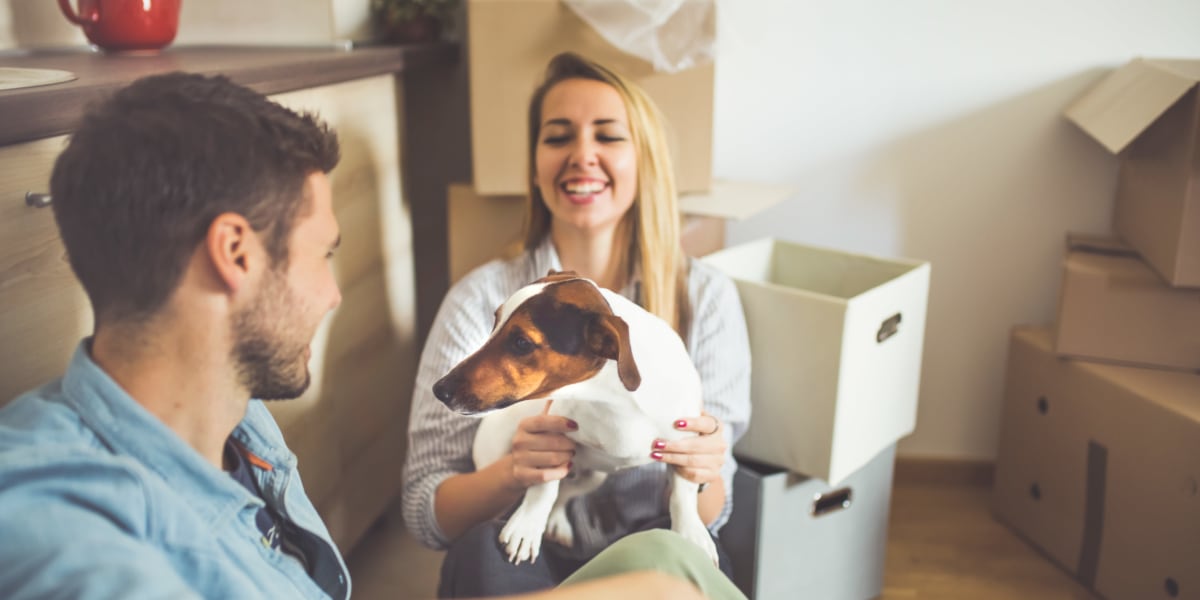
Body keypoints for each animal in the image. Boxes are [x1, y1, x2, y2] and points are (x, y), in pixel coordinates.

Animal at [436, 272, 715, 566]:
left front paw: (691, 533)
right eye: (495, 321)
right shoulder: (550, 437)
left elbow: (683, 495)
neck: (613, 398)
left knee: (566, 493)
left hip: (593, 477)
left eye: (521, 343)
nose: (439, 390)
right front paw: (527, 525)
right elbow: (544, 487)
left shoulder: (685, 444)